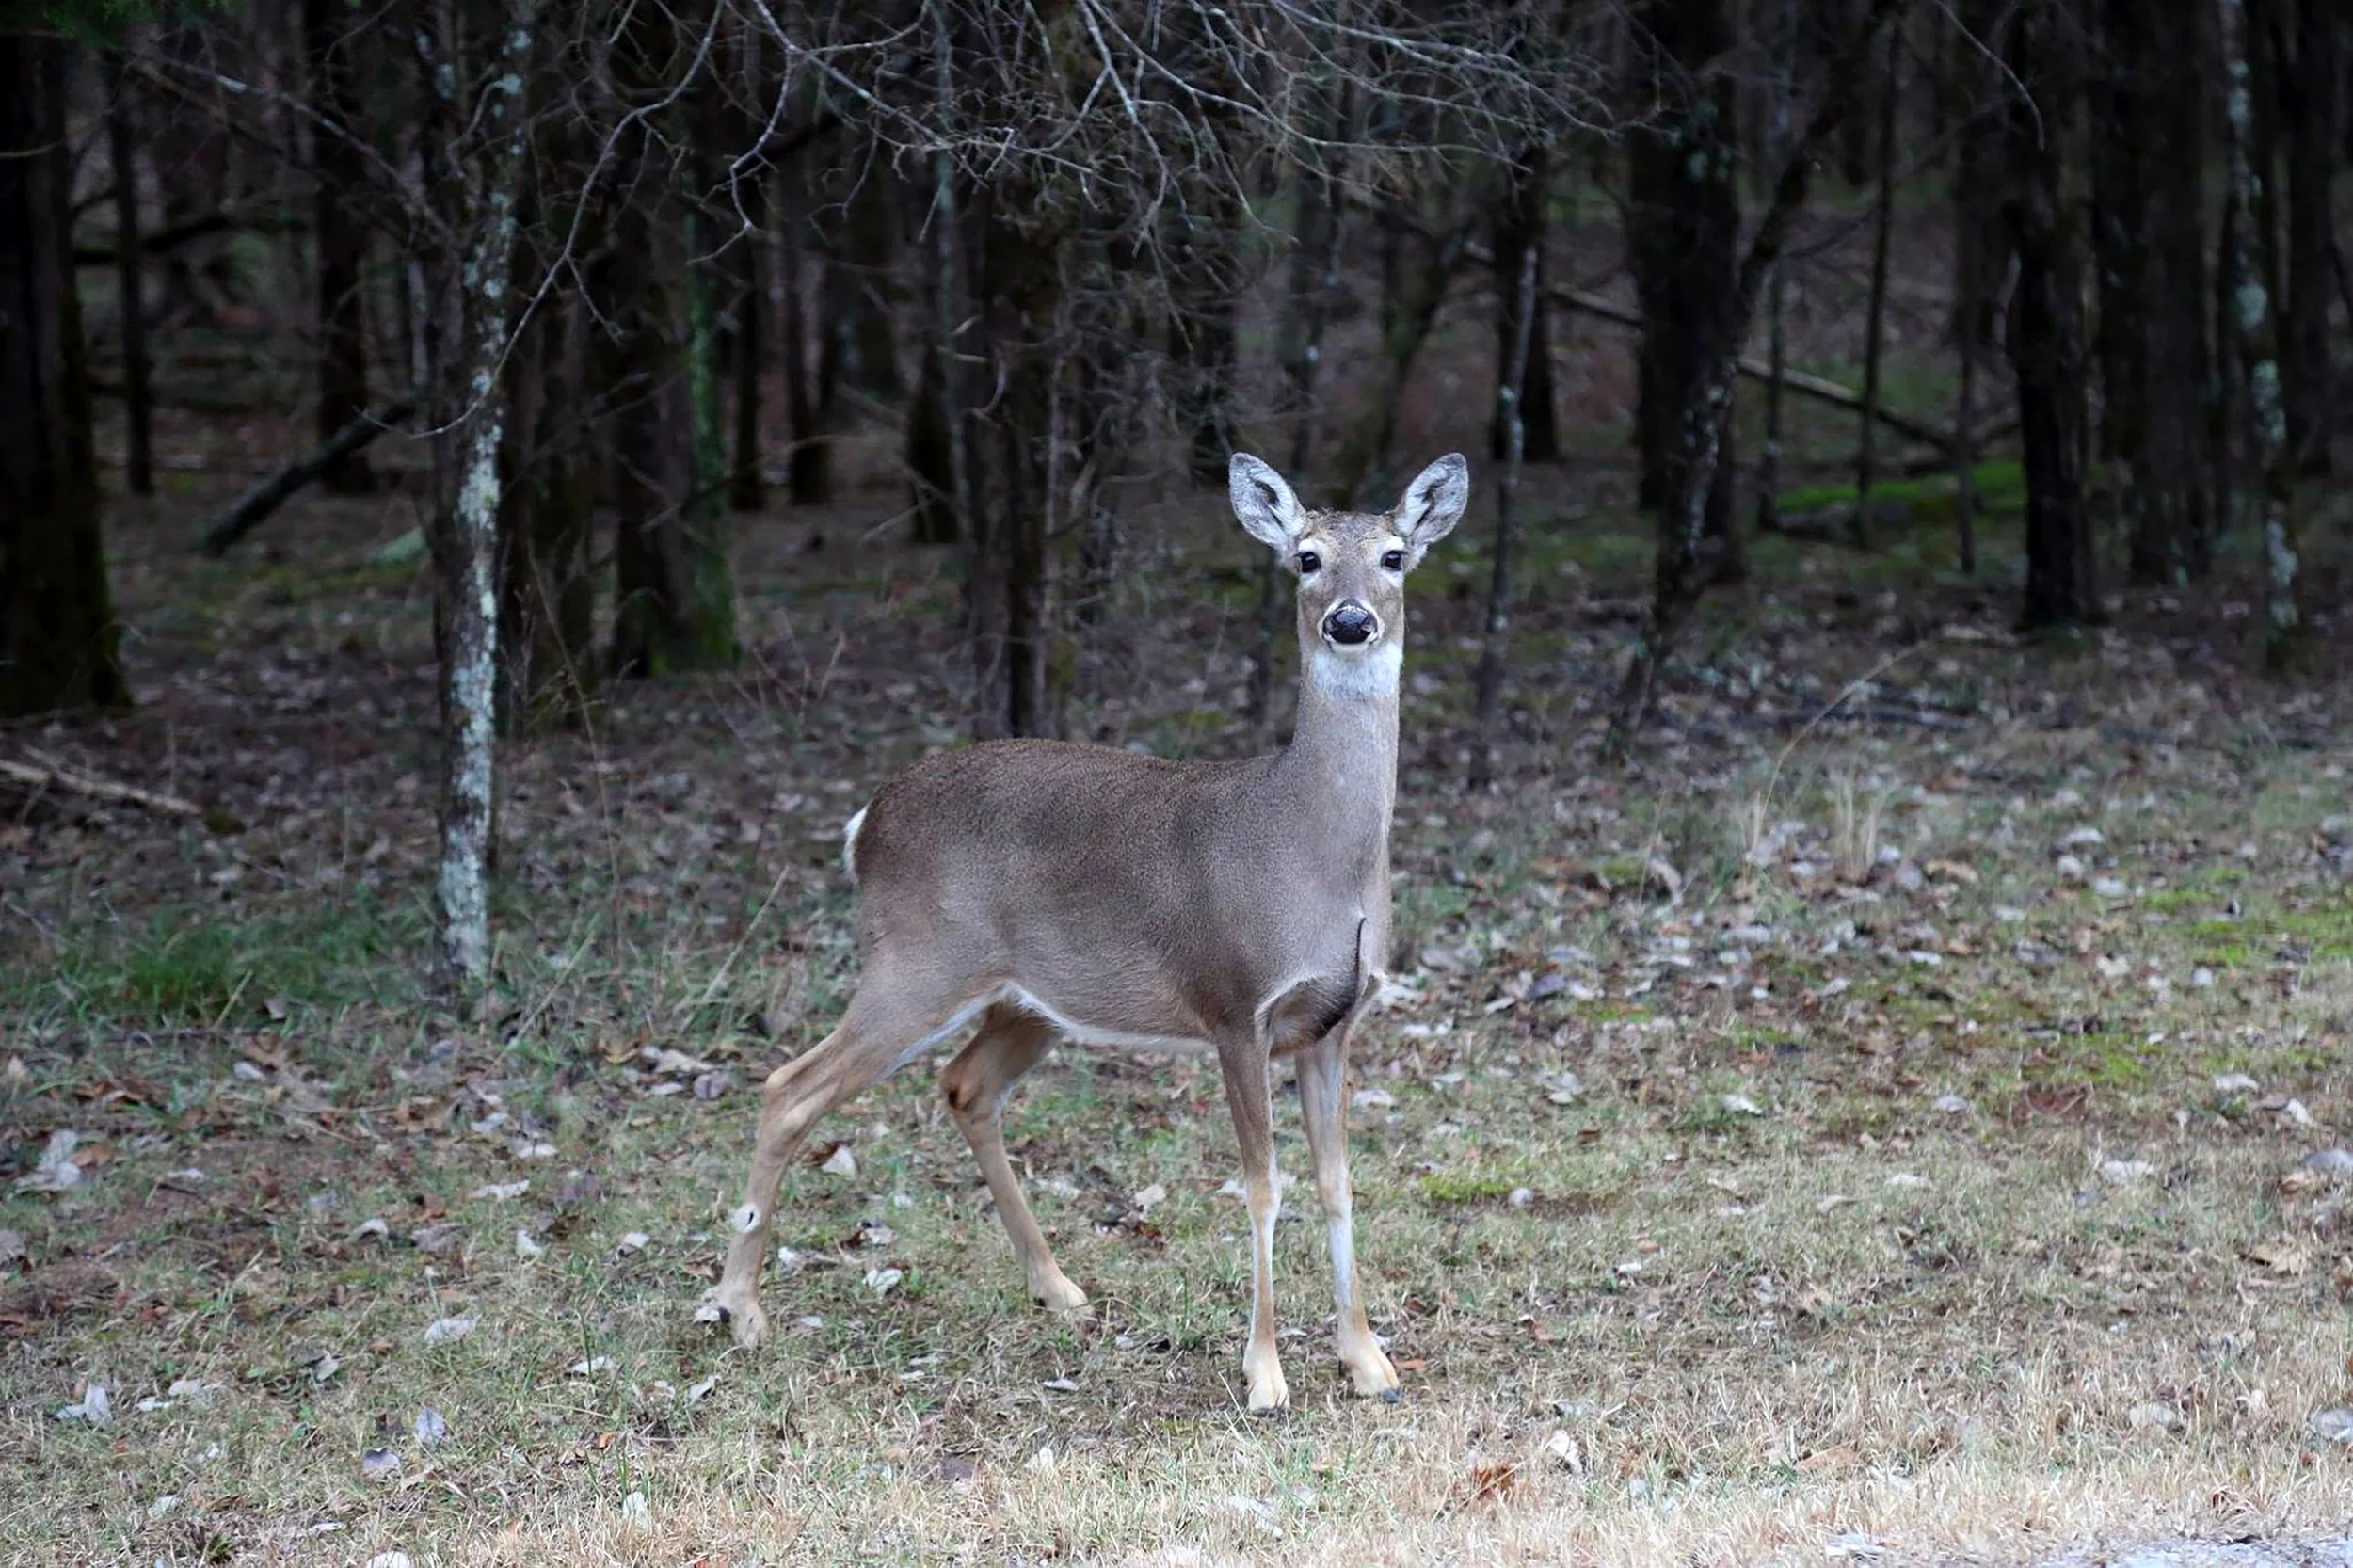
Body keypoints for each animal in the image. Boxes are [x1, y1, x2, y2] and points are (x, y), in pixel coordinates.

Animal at [697, 451, 1470, 1413]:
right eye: (1307, 558)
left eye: (1396, 556)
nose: (1351, 620)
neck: (1312, 855)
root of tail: (863, 824)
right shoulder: (1233, 1003)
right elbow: (1262, 1186)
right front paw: (1264, 1375)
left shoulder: (1333, 1022)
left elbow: (1337, 1183)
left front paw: (1367, 1361)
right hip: (916, 961)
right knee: (789, 1087)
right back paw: (740, 1309)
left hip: (1025, 1000)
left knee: (964, 1087)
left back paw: (1056, 1286)